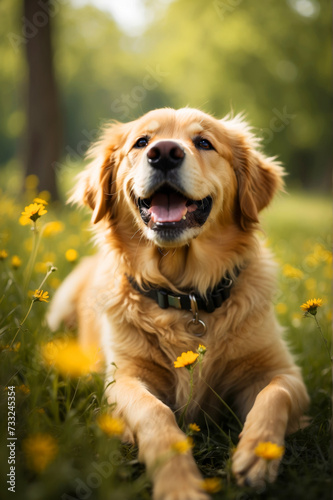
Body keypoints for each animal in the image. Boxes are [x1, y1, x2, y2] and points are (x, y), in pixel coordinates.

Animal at [47, 107, 308, 498]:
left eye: (204, 142)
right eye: (142, 142)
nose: (165, 153)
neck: (187, 297)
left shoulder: (281, 370)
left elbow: (276, 394)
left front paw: (258, 453)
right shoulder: (124, 378)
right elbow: (155, 414)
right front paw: (180, 484)